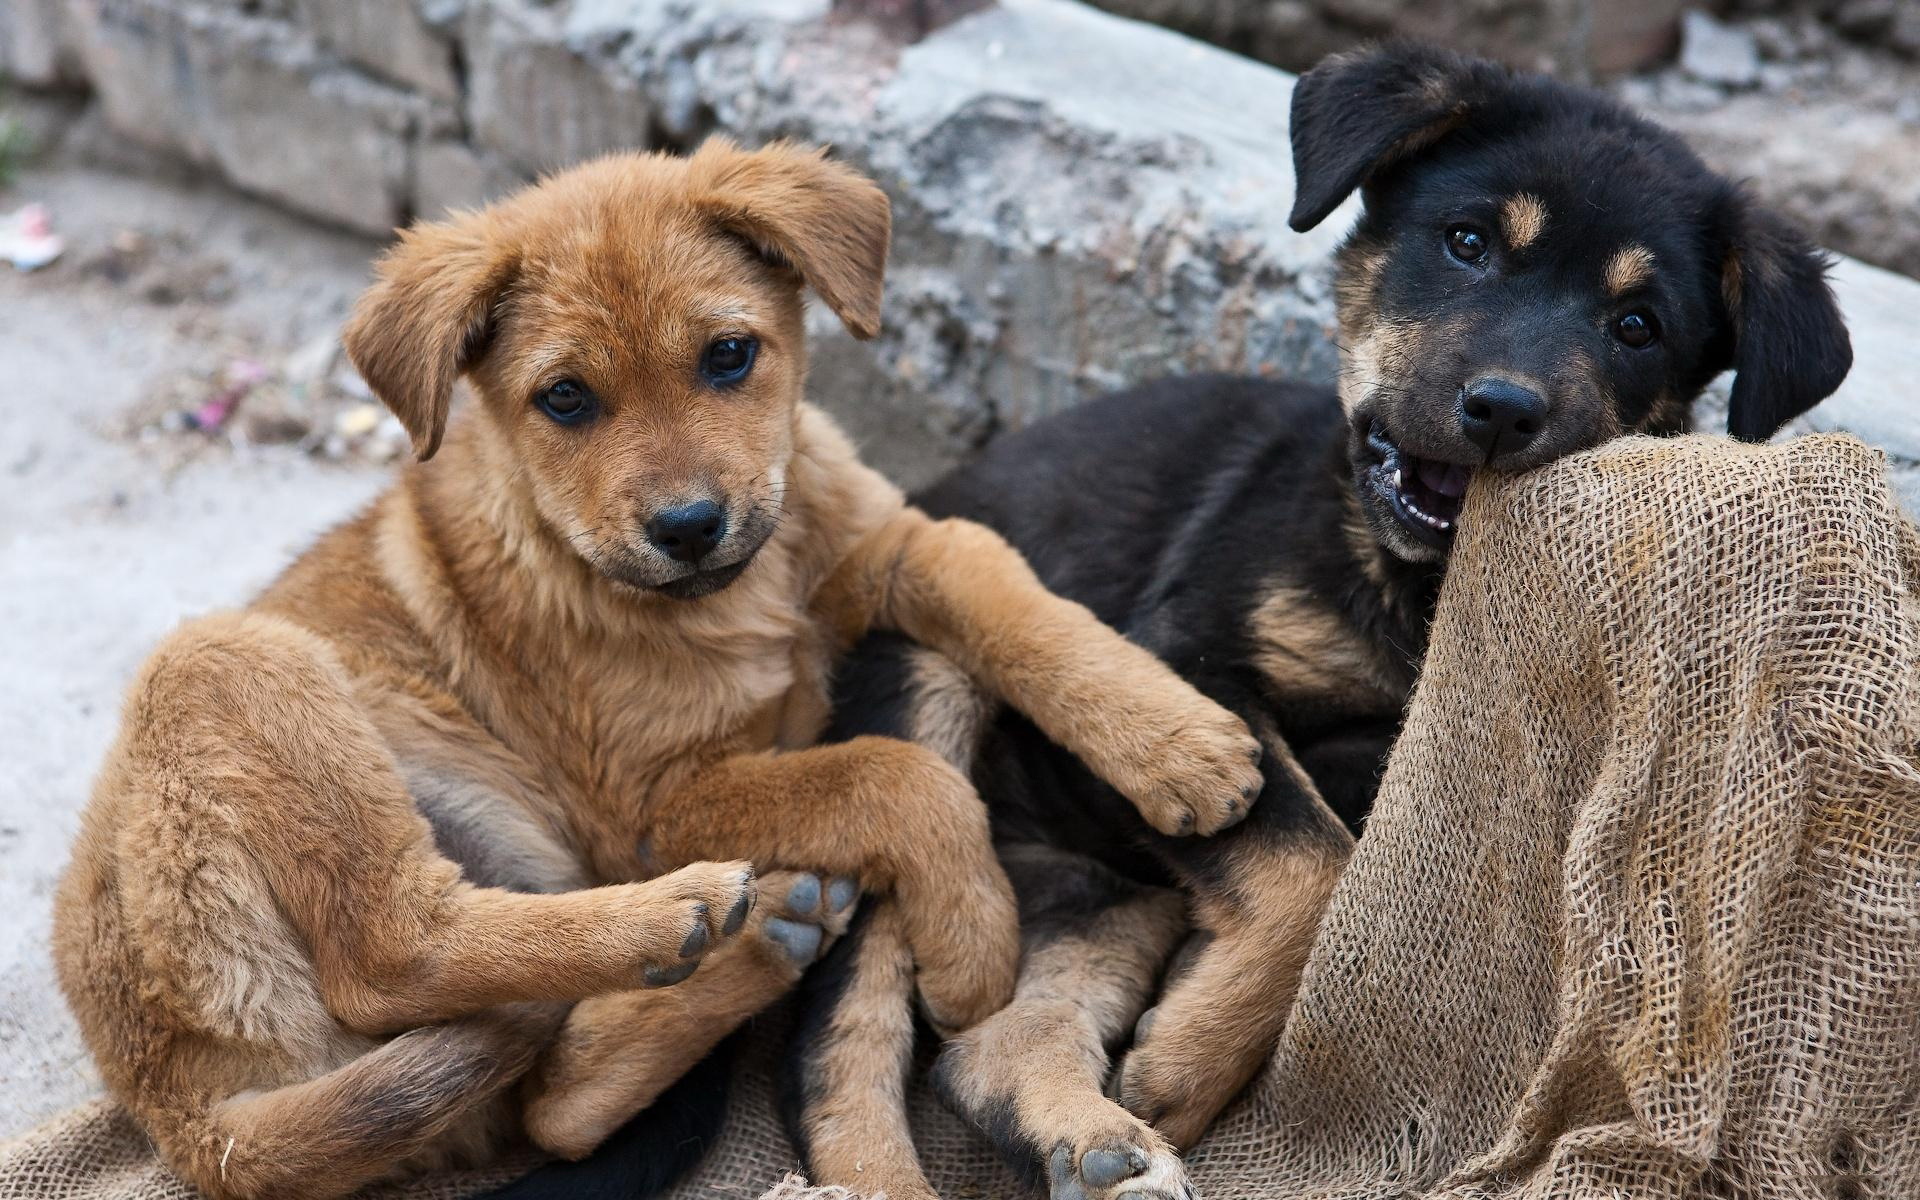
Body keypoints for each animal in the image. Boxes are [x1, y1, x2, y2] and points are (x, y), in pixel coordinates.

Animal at [48, 140, 1259, 1198]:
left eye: (729, 355)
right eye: (565, 398)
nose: (688, 527)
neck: (733, 598)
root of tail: (185, 1119)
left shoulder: (887, 544)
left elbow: (1006, 591)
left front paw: (1179, 744)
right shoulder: (645, 807)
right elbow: (894, 771)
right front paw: (973, 946)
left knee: (551, 1105)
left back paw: (760, 940)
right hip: (229, 659)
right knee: (398, 947)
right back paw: (683, 918)